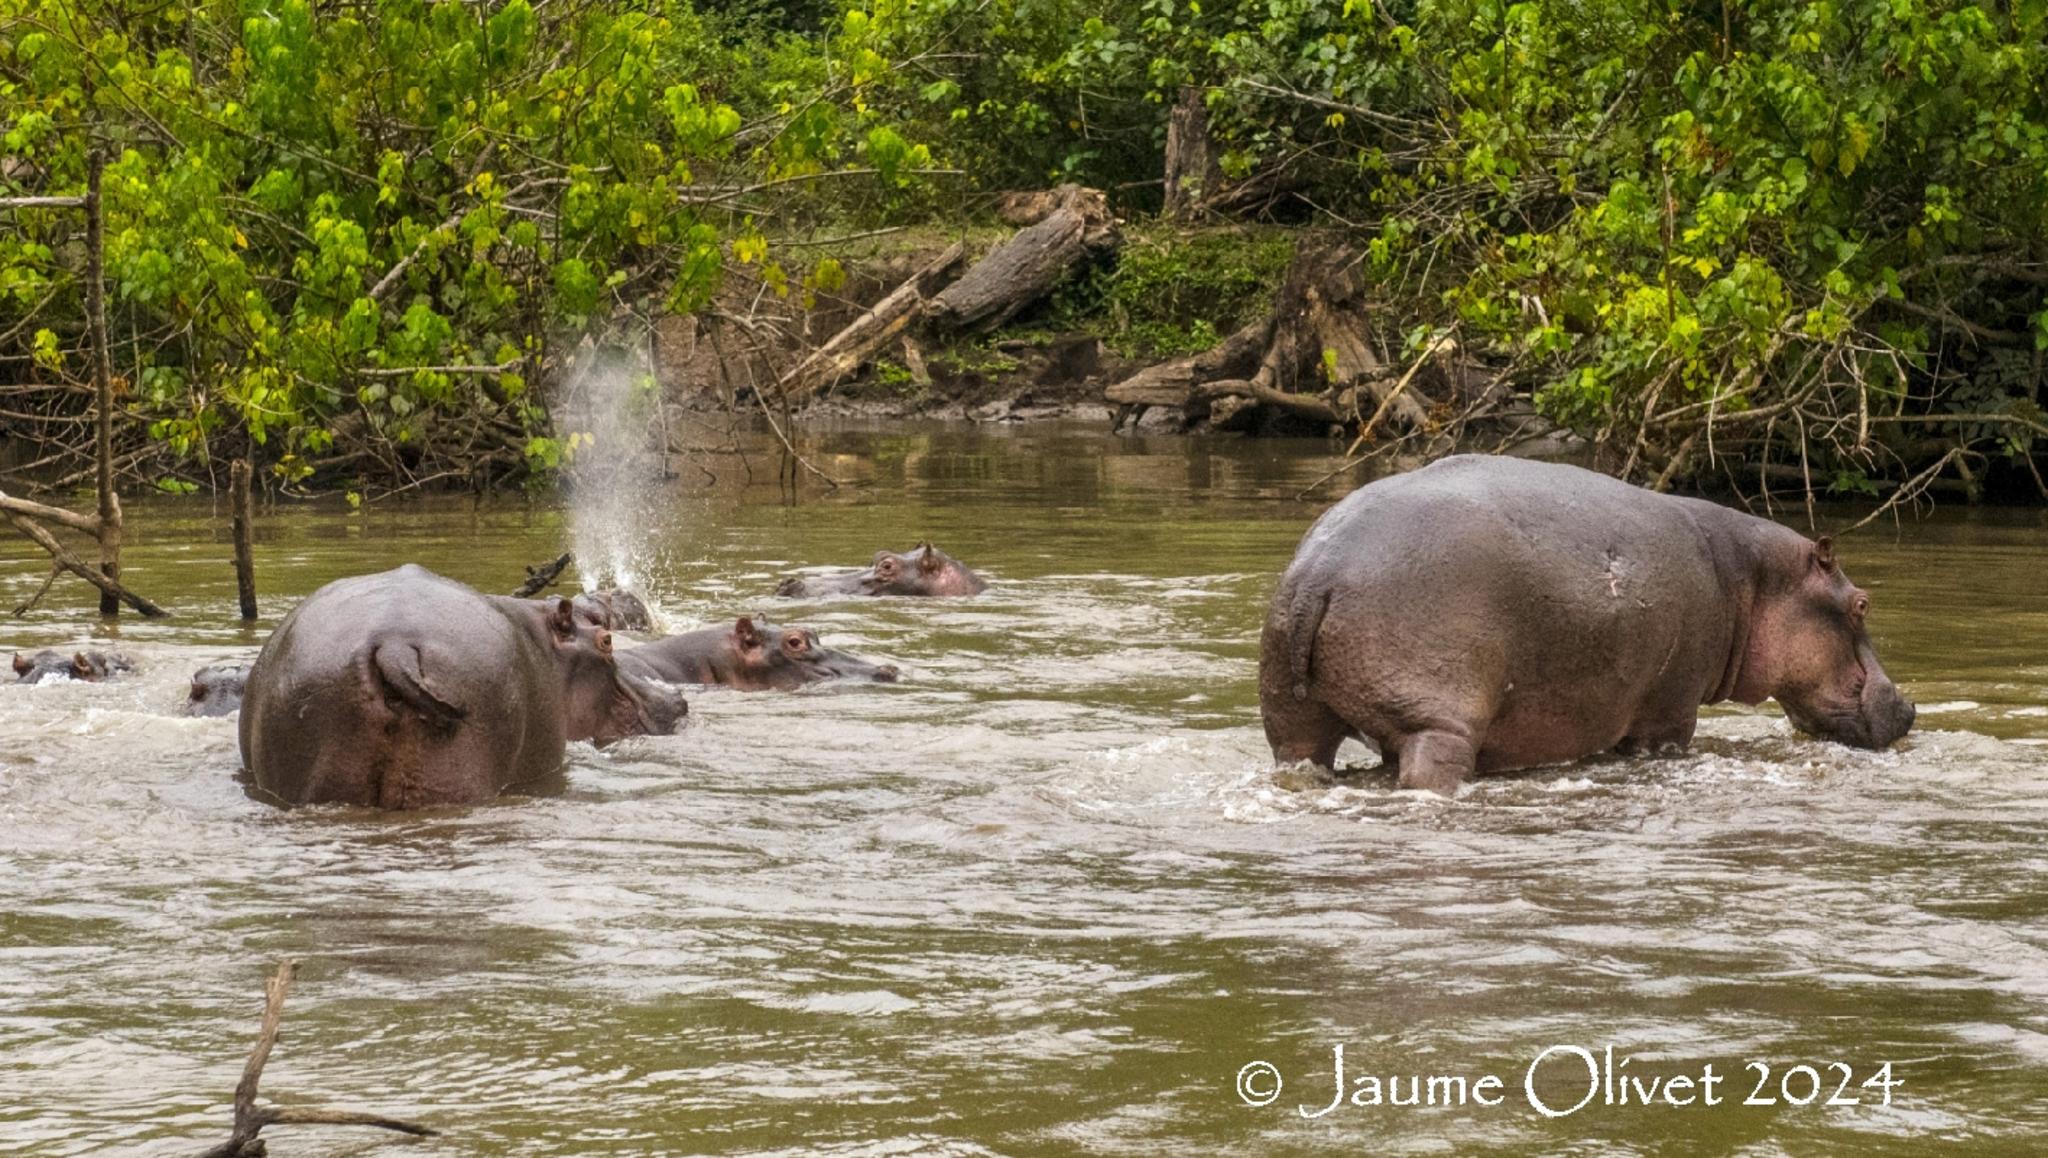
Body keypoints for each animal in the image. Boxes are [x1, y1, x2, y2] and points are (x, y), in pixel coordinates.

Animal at [1261, 452, 1916, 795]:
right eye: (1861, 604)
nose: (1909, 706)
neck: (1749, 578)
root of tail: (1318, 573)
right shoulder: (1669, 711)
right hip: (1436, 720)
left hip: (1293, 720)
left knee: (1300, 753)